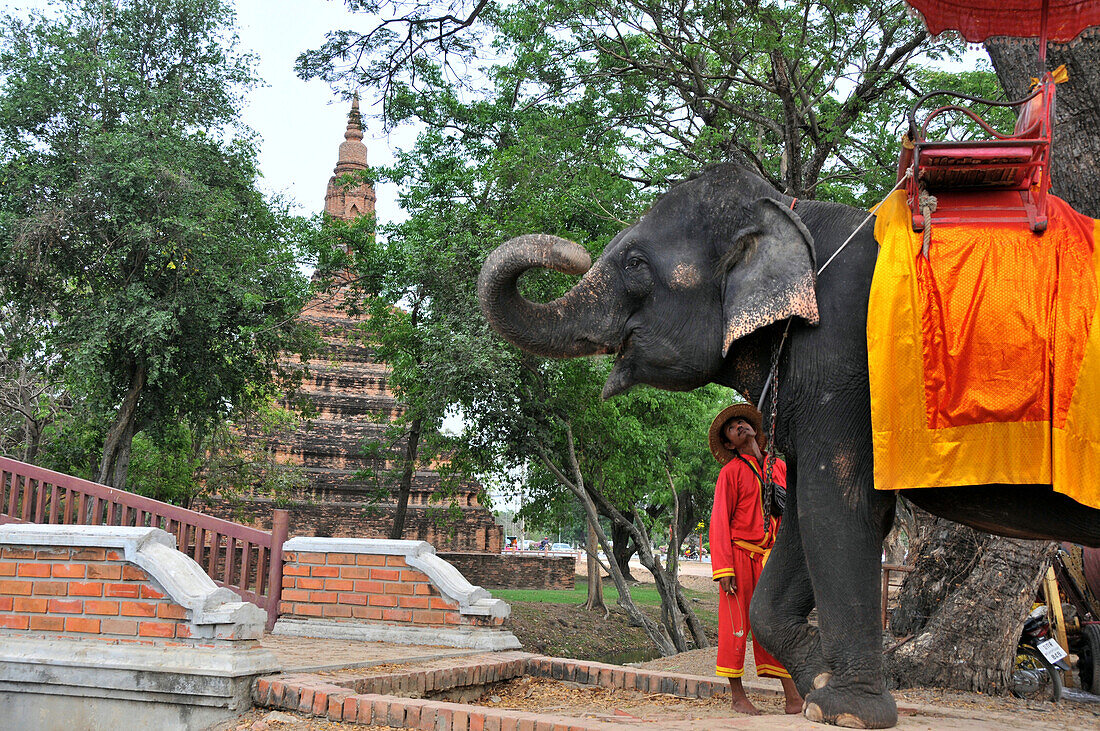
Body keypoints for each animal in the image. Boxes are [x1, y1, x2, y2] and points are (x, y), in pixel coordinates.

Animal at [477, 162, 1100, 725]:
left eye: (634, 264)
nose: (570, 252)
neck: (793, 214)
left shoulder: (843, 368)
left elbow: (839, 506)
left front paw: (847, 711)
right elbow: (802, 516)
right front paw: (818, 686)